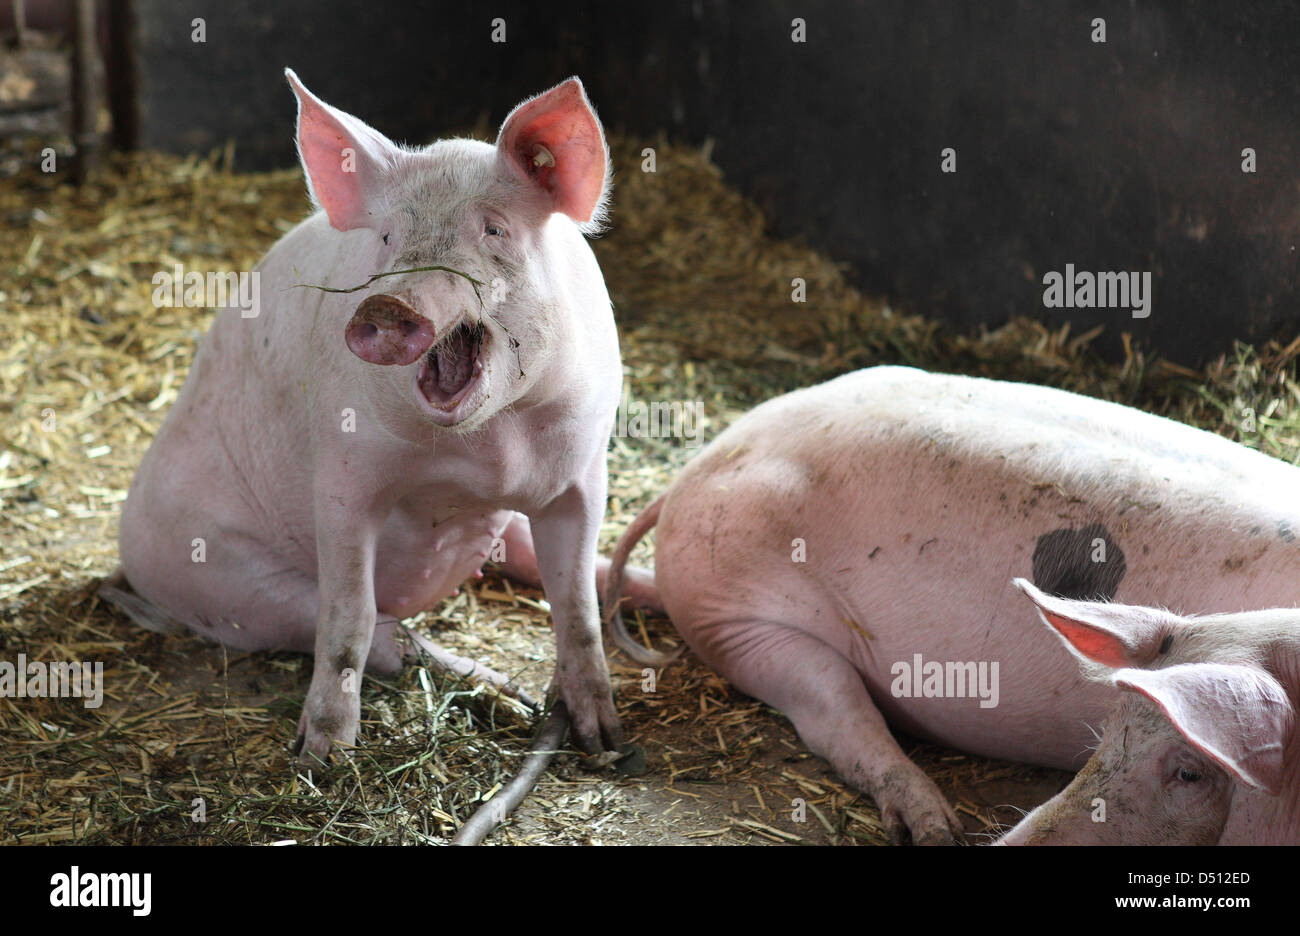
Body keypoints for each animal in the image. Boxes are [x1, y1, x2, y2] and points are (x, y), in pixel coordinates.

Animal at [109, 71, 637, 769]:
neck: (483, 454)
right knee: (384, 631)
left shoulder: (583, 475)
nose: (387, 305)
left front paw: (606, 744)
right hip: (218, 577)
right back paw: (501, 691)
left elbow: (576, 610)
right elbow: (348, 617)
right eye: (387, 238)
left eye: (493, 230)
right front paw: (322, 758)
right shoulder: (342, 476)